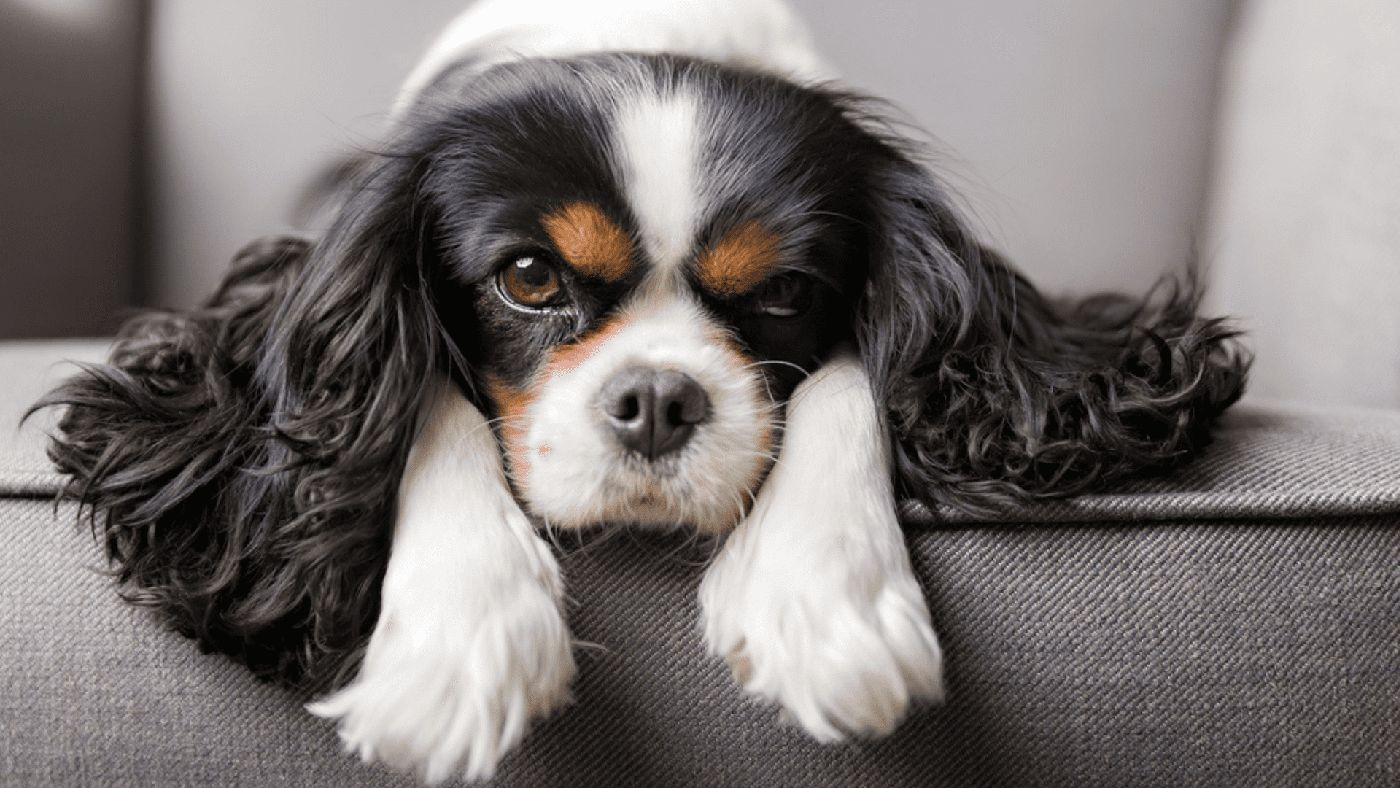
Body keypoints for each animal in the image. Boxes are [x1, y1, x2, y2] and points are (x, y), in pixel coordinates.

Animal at [40, 0, 1248, 783]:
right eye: (530, 278)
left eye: (787, 291)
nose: (660, 400)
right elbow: (424, 390)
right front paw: (461, 631)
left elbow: (853, 375)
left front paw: (824, 594)